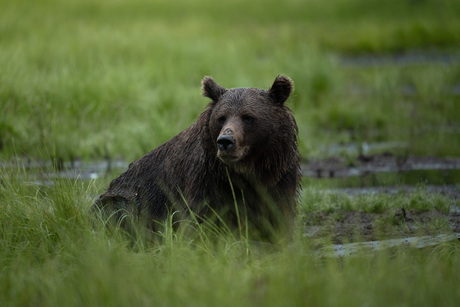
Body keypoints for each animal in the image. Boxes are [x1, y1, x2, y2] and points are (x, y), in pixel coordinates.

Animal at [94, 76, 302, 243]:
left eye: (248, 117)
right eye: (221, 117)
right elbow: (201, 221)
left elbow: (278, 219)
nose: (225, 141)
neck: (246, 171)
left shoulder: (279, 179)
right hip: (127, 199)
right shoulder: (205, 182)